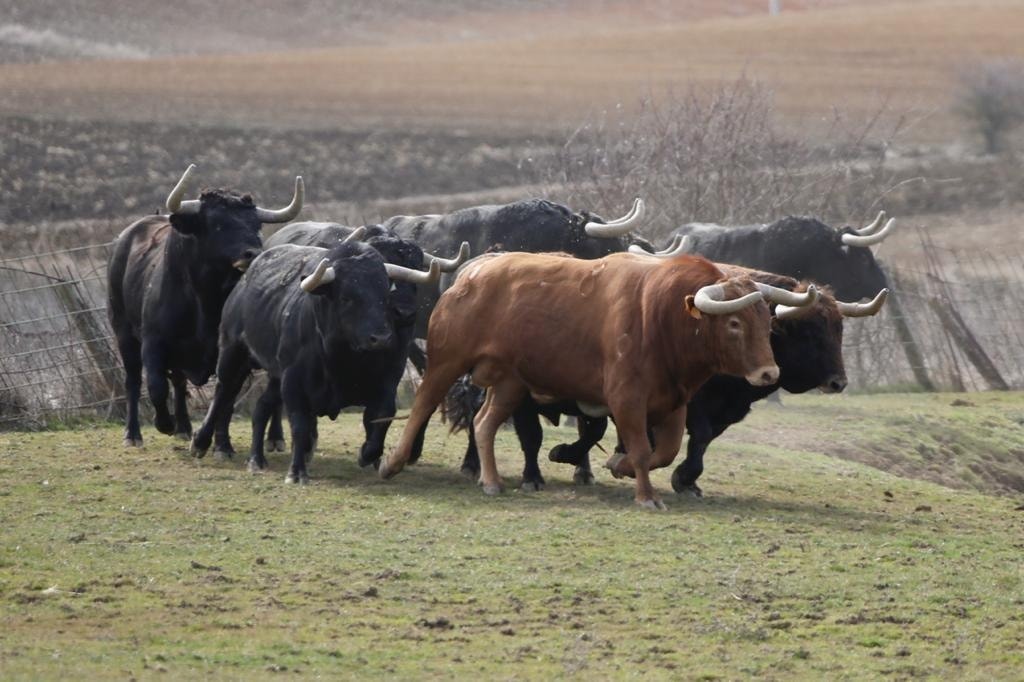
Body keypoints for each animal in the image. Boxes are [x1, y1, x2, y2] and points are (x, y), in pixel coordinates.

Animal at [107, 164, 303, 449]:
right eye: (218, 224)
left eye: (256, 224)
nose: (253, 253)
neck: (205, 302)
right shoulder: (153, 343)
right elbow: (155, 386)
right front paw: (164, 424)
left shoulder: (235, 353)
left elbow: (226, 401)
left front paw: (221, 444)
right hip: (123, 331)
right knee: (133, 380)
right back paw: (134, 434)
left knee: (179, 381)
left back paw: (188, 428)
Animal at [189, 238, 440, 484]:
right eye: (347, 297)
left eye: (385, 297)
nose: (381, 338)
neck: (343, 359)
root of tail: (246, 278)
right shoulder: (293, 382)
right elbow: (300, 426)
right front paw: (296, 472)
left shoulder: (386, 381)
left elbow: (381, 418)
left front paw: (368, 455)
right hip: (233, 352)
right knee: (224, 392)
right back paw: (202, 443)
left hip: (274, 375)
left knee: (261, 407)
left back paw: (255, 459)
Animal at [244, 221, 468, 466]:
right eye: (384, 263)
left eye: (416, 266)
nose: (406, 313)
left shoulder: (393, 367)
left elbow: (382, 411)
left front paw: (377, 454)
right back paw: (281, 440)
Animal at [378, 250, 818, 509]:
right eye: (733, 323)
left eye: (767, 323)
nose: (769, 372)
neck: (660, 314)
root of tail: (472, 273)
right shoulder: (627, 399)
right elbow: (641, 449)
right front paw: (645, 496)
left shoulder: (673, 403)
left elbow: (664, 451)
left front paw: (618, 464)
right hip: (447, 361)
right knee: (423, 405)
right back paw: (392, 463)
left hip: (510, 383)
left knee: (485, 423)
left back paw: (491, 480)